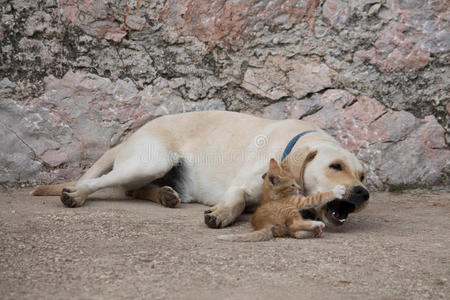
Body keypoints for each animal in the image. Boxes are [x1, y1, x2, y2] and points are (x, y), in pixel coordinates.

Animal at [32, 110, 370, 227]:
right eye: (335, 166)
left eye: (363, 176)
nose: (363, 193)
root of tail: (132, 136)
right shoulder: (241, 186)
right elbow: (234, 202)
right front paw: (222, 213)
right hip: (150, 162)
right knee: (103, 183)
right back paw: (76, 194)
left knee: (132, 190)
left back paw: (165, 195)